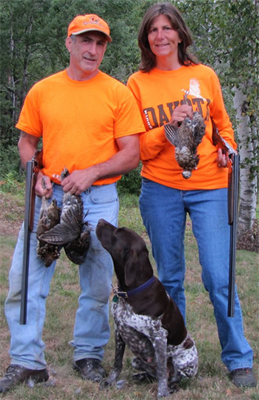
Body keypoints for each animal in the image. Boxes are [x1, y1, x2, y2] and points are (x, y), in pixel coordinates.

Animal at [96, 220, 198, 398]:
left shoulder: (159, 336)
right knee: (153, 374)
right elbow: (117, 363)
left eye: (117, 232)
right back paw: (141, 376)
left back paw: (171, 387)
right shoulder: (119, 330)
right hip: (136, 360)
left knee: (175, 379)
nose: (100, 220)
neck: (131, 292)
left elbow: (162, 373)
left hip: (183, 361)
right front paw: (110, 381)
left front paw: (162, 394)